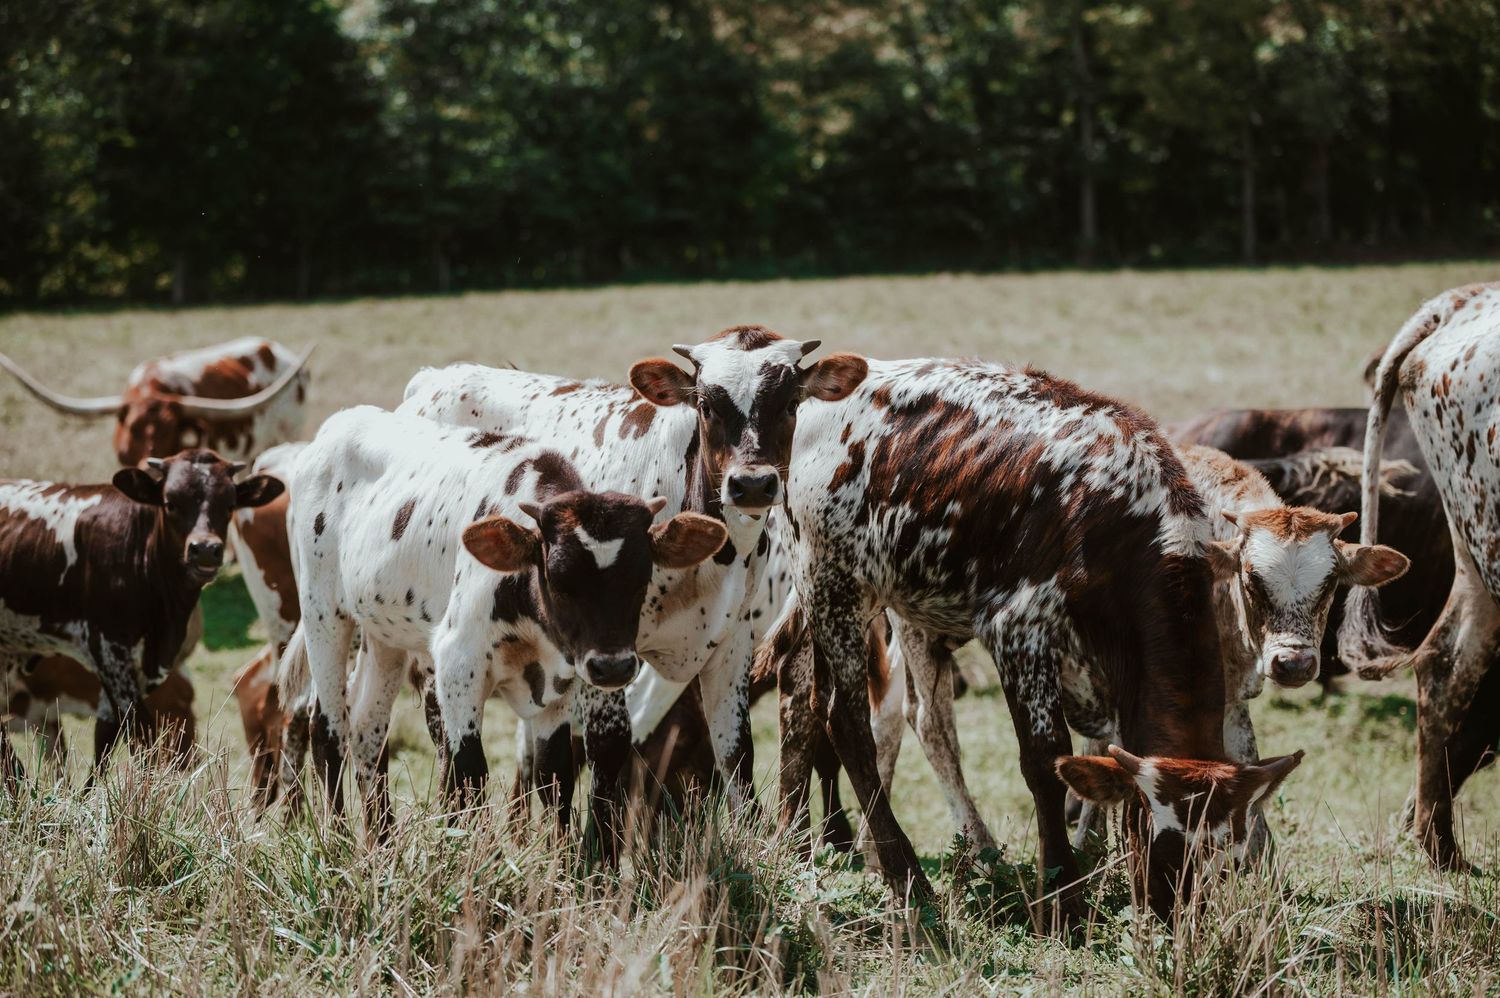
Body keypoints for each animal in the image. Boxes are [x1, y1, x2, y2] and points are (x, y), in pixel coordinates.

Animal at [0, 450, 281, 771]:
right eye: (170, 503)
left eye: (230, 504)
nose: (206, 550)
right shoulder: (109, 652)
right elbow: (140, 735)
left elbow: (107, 737)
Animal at [288, 406, 727, 836]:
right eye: (559, 579)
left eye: (640, 580)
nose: (613, 667)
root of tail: (337, 425)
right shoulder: (458, 665)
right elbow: (469, 774)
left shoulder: (559, 683)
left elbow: (554, 779)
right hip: (322, 613)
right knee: (326, 731)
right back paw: (338, 842)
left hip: (385, 636)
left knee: (367, 729)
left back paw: (381, 843)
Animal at [397, 326, 867, 838]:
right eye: (706, 404)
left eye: (790, 402)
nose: (752, 485)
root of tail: (432, 379)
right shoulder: (603, 649)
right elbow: (609, 749)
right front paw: (595, 852)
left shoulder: (732, 641)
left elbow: (735, 750)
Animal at [765, 356, 1305, 919]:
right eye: (1161, 839)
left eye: (1224, 852)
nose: (1172, 915)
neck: (1124, 525)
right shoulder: (1017, 629)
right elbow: (1047, 762)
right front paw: (1063, 899)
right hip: (832, 582)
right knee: (847, 722)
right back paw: (906, 876)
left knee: (803, 697)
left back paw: (798, 844)